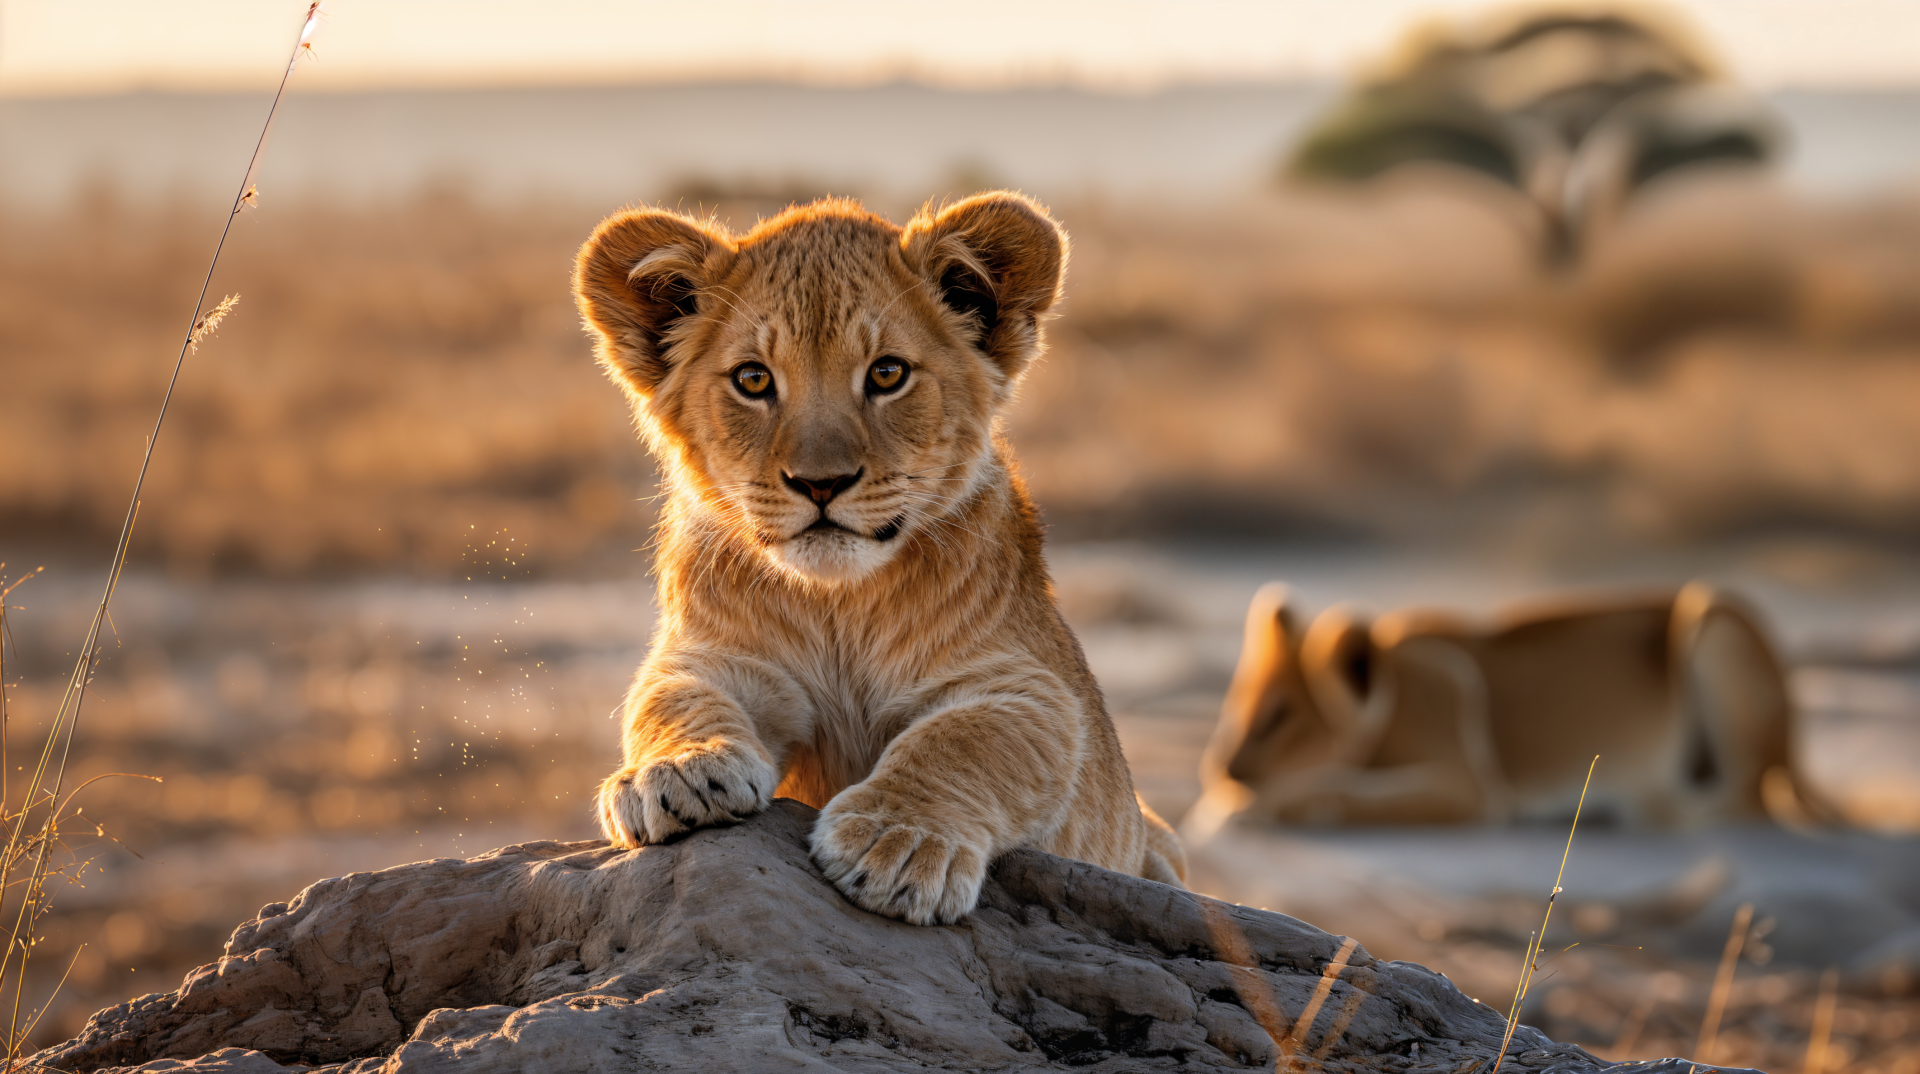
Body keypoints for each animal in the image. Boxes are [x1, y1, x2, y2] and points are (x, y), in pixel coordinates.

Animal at [573, 192, 1186, 925]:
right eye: (753, 379)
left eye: (887, 374)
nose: (820, 484)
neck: (840, 602)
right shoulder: (717, 657)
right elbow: (671, 700)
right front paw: (677, 774)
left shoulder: (1031, 687)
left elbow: (962, 739)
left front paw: (896, 842)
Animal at [1189, 581, 1836, 833]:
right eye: (1234, 709)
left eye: (1279, 717)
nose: (1218, 770)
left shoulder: (1472, 787)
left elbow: (1341, 791)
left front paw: (1241, 809)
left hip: (1714, 622)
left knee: (1750, 798)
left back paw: (1639, 806)